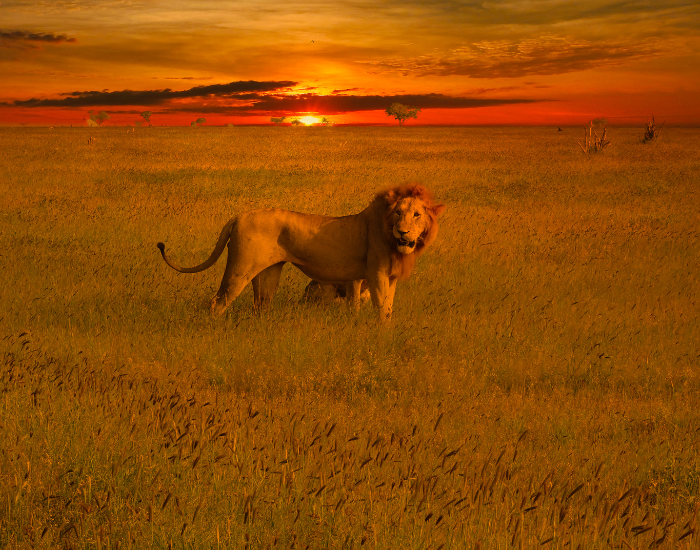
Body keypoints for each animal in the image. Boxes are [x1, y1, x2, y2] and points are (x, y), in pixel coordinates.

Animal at [157, 183, 445, 321]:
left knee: (260, 304)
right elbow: (381, 310)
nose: (403, 232)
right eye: (398, 213)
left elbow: (388, 307)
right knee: (217, 301)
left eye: (417, 215)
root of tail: (239, 215)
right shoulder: (376, 275)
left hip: (267, 272)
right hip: (240, 268)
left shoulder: (390, 278)